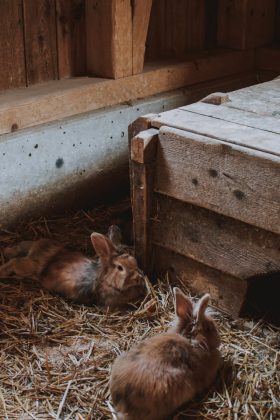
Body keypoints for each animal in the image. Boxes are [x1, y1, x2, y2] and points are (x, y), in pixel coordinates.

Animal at [0, 226, 148, 308]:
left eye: (135, 262)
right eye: (120, 268)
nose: (137, 277)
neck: (106, 281)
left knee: (19, 248)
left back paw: (5, 251)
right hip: (29, 267)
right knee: (15, 261)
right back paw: (2, 270)